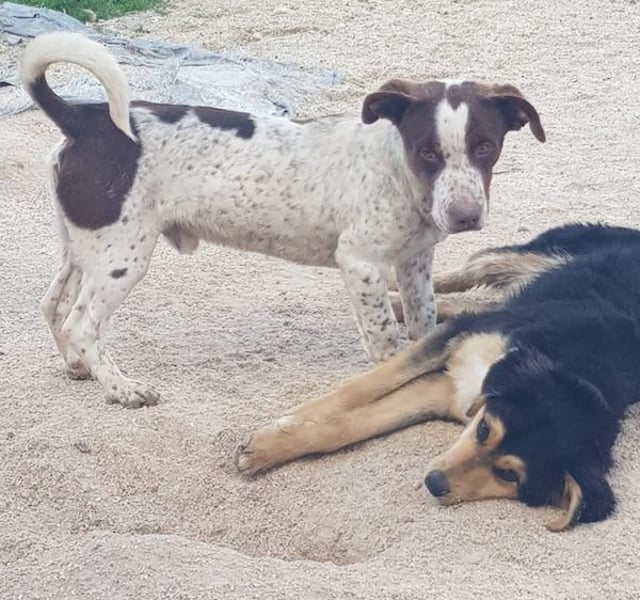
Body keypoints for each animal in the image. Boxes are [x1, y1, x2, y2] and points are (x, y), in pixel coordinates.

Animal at [21, 32, 545, 407]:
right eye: (427, 152)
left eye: (485, 147)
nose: (465, 217)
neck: (395, 169)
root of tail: (82, 119)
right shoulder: (361, 263)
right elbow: (385, 337)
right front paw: (390, 376)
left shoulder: (414, 261)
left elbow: (423, 323)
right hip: (121, 256)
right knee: (81, 323)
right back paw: (121, 388)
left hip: (84, 246)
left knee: (53, 305)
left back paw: (79, 368)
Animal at [236, 223, 640, 530]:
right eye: (484, 431)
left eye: (509, 476)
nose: (433, 483)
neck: (574, 365)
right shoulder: (457, 341)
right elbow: (362, 387)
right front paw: (284, 425)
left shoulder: (445, 391)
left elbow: (348, 427)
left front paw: (270, 447)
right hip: (531, 256)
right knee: (469, 272)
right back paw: (396, 289)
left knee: (465, 301)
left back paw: (401, 304)